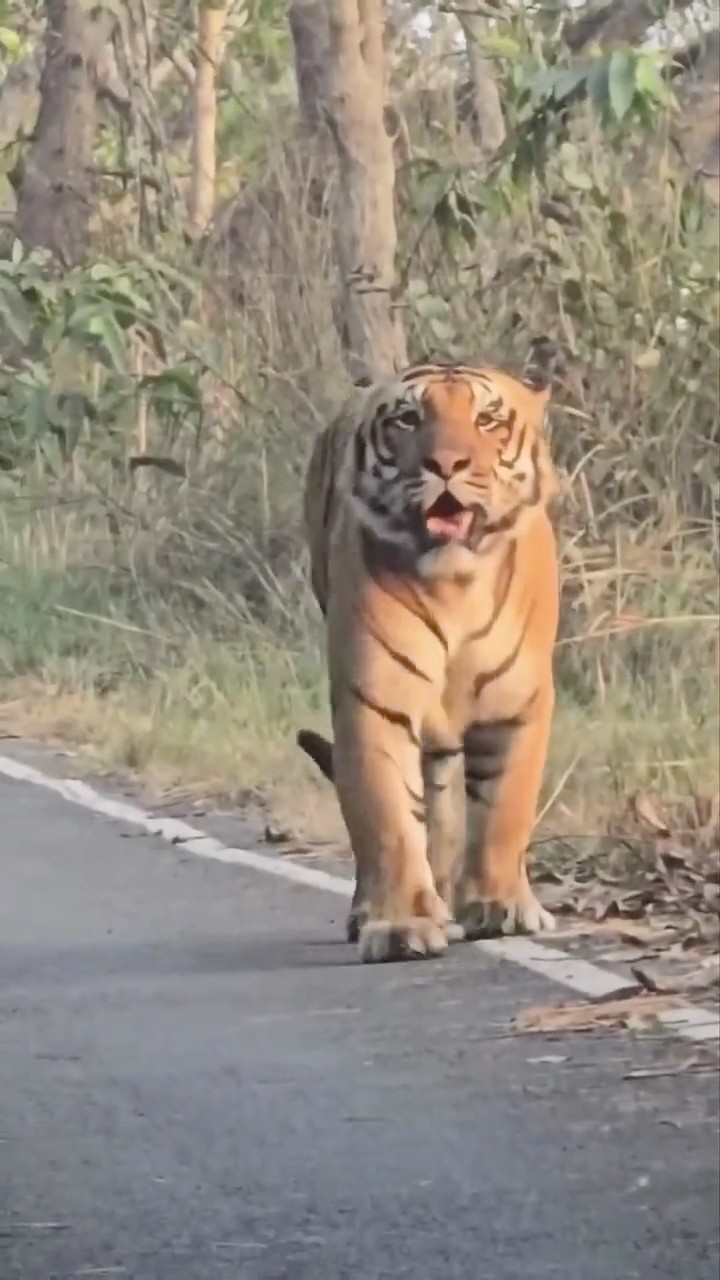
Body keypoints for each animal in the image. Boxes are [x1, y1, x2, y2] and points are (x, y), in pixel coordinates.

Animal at [297, 342, 561, 964]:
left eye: (487, 420)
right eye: (408, 420)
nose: (447, 465)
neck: (455, 583)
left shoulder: (519, 704)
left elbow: (505, 811)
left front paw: (501, 907)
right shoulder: (374, 702)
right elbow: (389, 818)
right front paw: (399, 926)